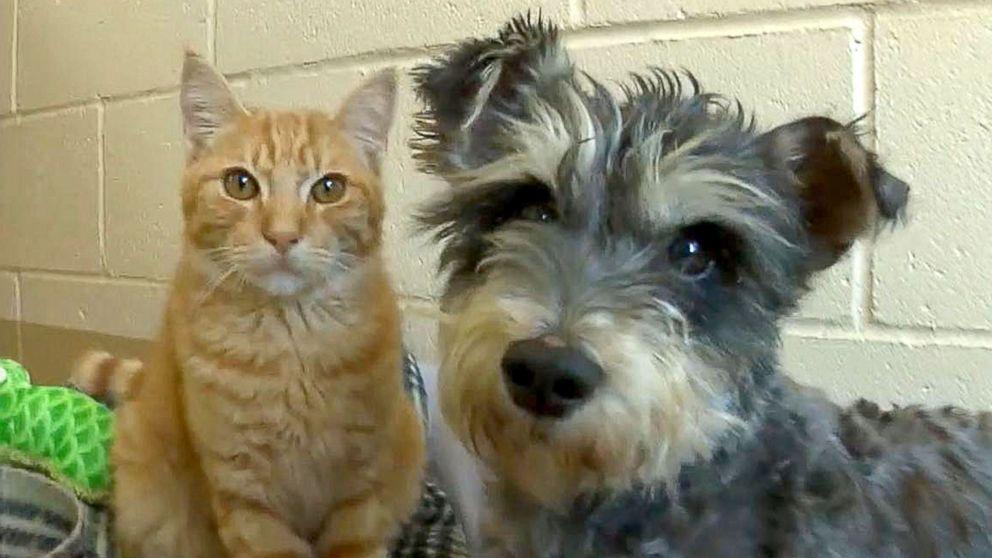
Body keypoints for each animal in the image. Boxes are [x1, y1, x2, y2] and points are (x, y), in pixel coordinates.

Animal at [86, 50, 426, 556]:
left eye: (328, 189)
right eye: (241, 184)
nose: (282, 235)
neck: (292, 346)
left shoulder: (360, 488)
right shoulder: (245, 497)